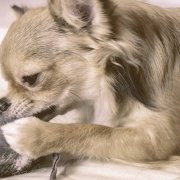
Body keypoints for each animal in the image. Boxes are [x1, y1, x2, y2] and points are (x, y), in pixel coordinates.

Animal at [0, 0, 180, 166]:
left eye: (31, 79)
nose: (1, 104)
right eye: (6, 80)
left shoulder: (156, 138)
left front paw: (31, 134)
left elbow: (94, 131)